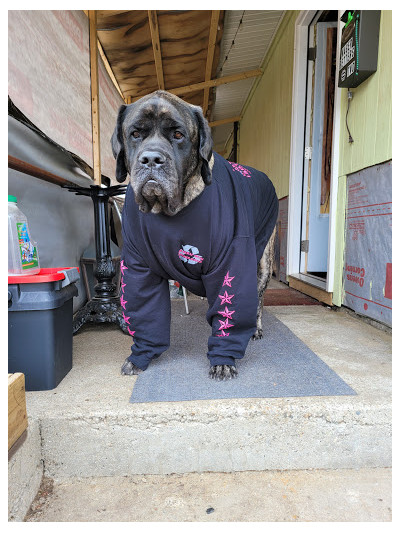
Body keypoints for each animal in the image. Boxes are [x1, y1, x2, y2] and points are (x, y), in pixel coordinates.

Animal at [111, 90, 276, 378]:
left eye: (178, 135)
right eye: (135, 133)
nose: (151, 159)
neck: (169, 210)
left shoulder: (231, 263)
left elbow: (230, 312)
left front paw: (223, 359)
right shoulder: (139, 268)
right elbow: (145, 312)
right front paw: (141, 355)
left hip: (264, 261)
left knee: (257, 299)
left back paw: (255, 328)